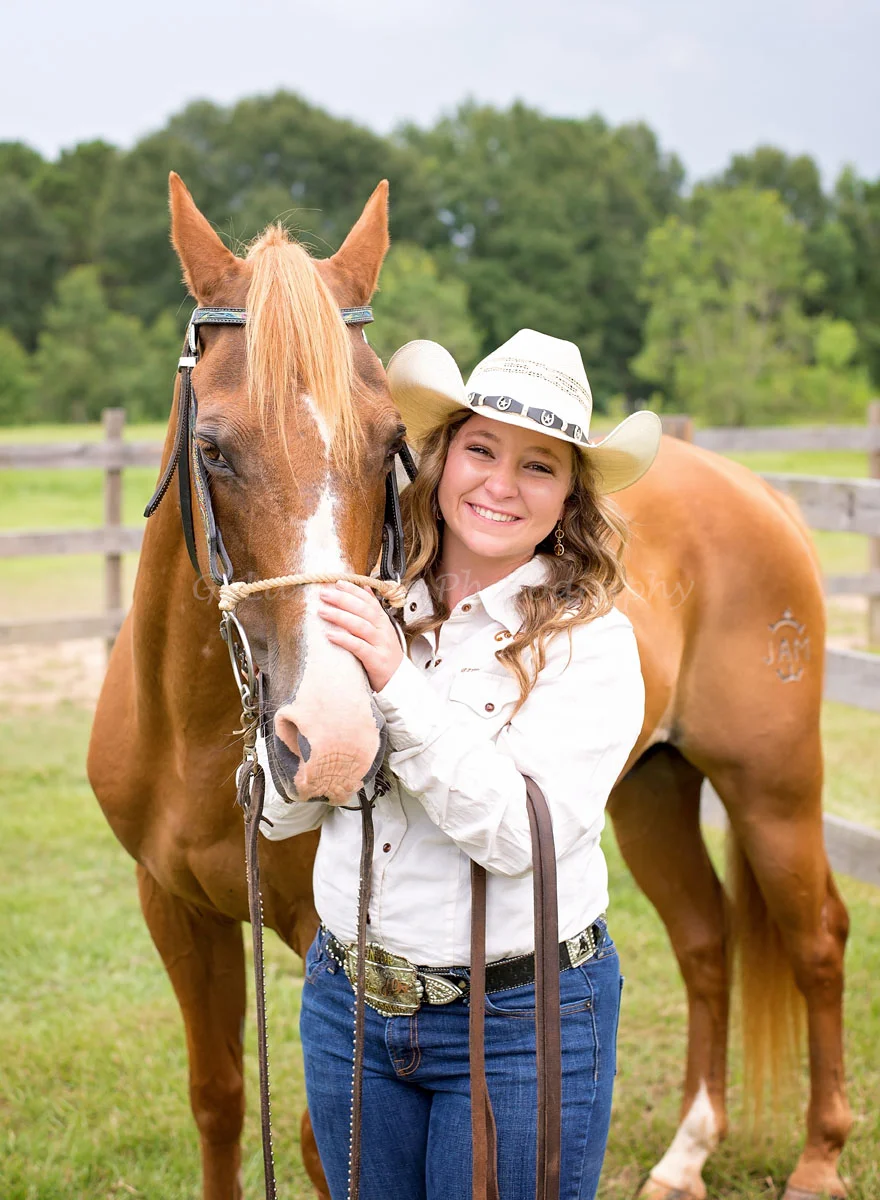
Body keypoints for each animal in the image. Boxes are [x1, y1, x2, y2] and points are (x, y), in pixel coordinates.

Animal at [88, 174, 850, 1200]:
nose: (332, 740)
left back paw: (818, 1158)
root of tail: (756, 492)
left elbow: (326, 1141)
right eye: (210, 447)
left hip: (772, 788)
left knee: (817, 941)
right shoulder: (176, 912)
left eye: (387, 446)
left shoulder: (325, 938)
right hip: (652, 790)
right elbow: (217, 1100)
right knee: (706, 939)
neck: (195, 737)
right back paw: (687, 1152)